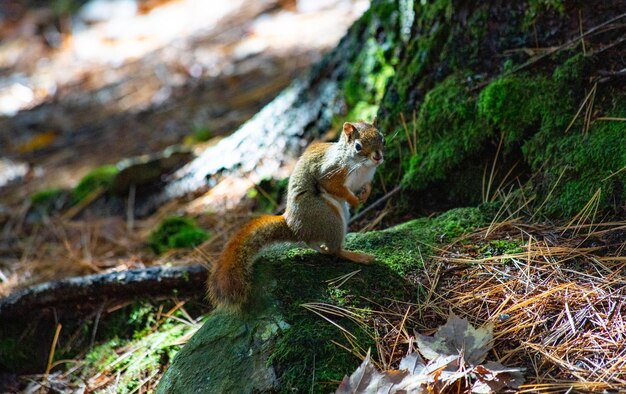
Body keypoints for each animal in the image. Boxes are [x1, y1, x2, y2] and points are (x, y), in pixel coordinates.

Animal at [207, 120, 382, 308]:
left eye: (382, 138)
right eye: (358, 146)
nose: (378, 157)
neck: (362, 166)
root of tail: (293, 225)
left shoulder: (365, 178)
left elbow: (367, 185)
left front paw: (365, 194)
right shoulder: (331, 171)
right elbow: (334, 187)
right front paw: (355, 200)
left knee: (317, 245)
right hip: (328, 217)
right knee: (333, 250)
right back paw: (356, 256)